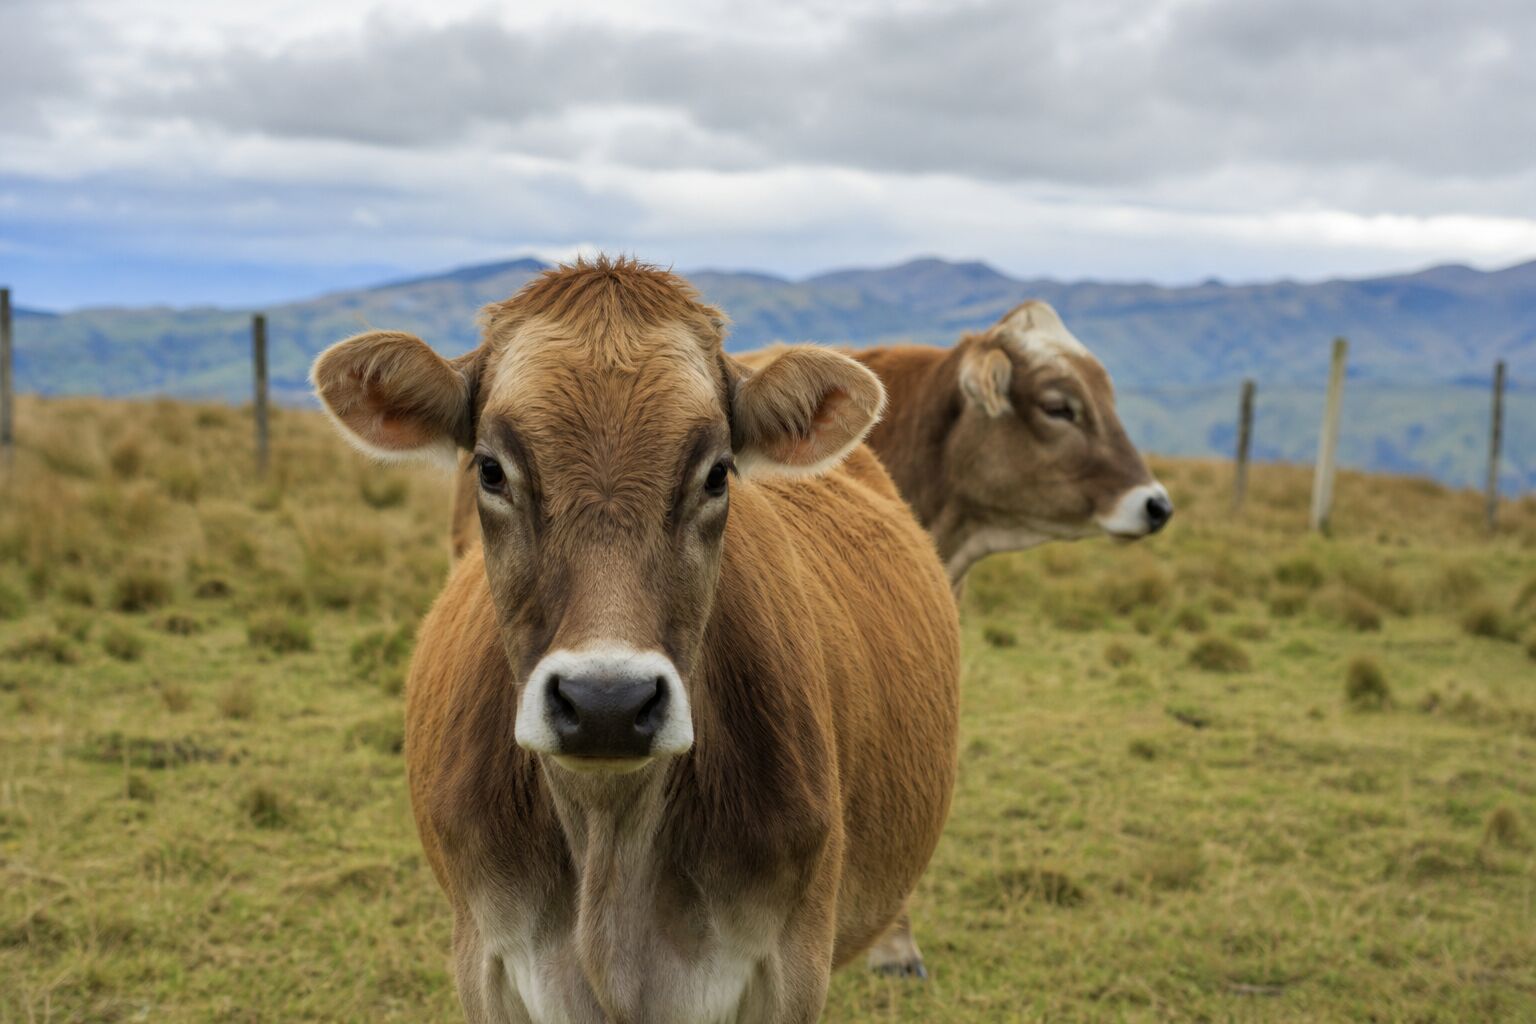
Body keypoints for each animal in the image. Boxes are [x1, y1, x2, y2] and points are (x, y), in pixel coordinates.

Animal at [312, 257, 961, 1023]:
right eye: (490, 469)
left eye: (718, 472)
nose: (606, 704)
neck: (609, 840)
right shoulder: (485, 957)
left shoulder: (794, 962)